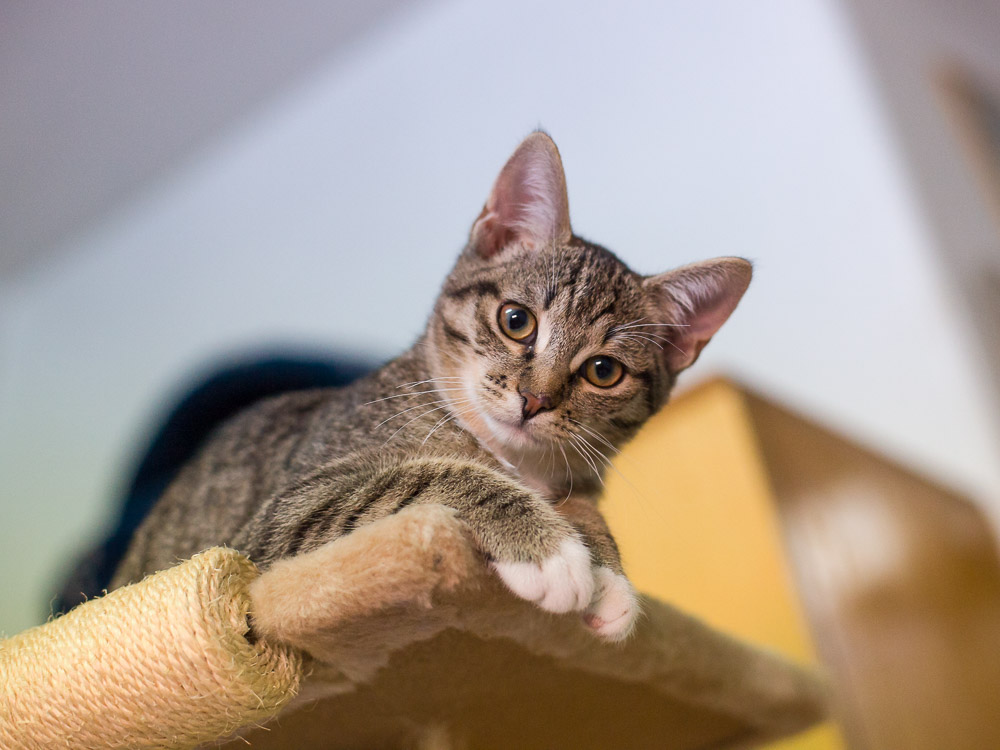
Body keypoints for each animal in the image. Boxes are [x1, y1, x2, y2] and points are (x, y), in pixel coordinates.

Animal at [111, 134, 752, 640]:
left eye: (603, 371)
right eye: (516, 321)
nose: (535, 399)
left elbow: (582, 503)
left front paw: (610, 573)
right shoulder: (271, 525)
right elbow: (426, 476)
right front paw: (550, 550)